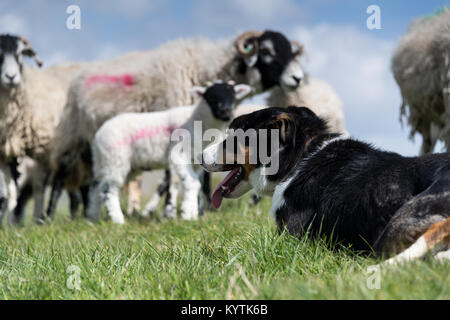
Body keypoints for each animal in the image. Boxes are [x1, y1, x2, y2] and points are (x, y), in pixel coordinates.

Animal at [85, 81, 251, 224]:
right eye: (210, 95)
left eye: (233, 95)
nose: (226, 111)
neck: (198, 120)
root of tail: (98, 135)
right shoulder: (180, 154)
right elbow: (192, 183)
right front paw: (188, 215)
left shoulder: (196, 161)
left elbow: (195, 184)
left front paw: (193, 212)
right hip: (115, 159)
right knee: (108, 189)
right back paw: (117, 219)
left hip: (107, 162)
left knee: (95, 187)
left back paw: (92, 218)